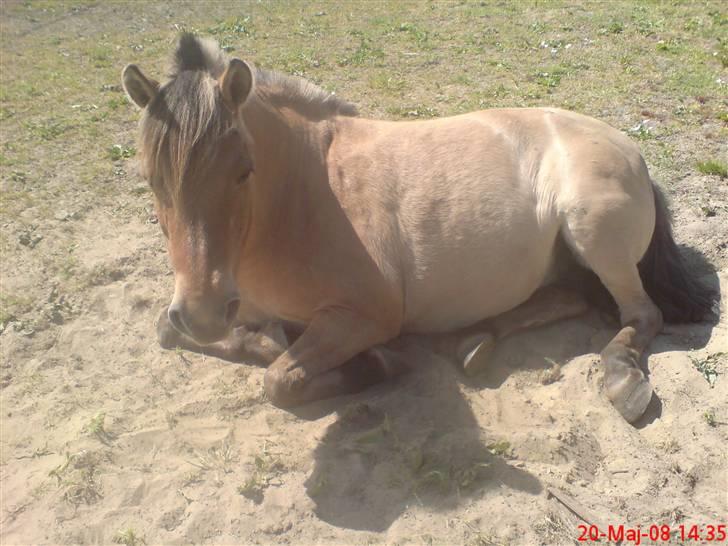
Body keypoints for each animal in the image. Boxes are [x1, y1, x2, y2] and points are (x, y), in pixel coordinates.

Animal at [121, 34, 713, 423]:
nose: (202, 312)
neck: (303, 195)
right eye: (149, 178)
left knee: (640, 313)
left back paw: (621, 376)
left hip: (594, 234)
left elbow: (280, 379)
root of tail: (631, 150)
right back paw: (472, 340)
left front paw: (374, 365)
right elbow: (171, 332)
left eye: (244, 170)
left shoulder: (365, 315)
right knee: (569, 298)